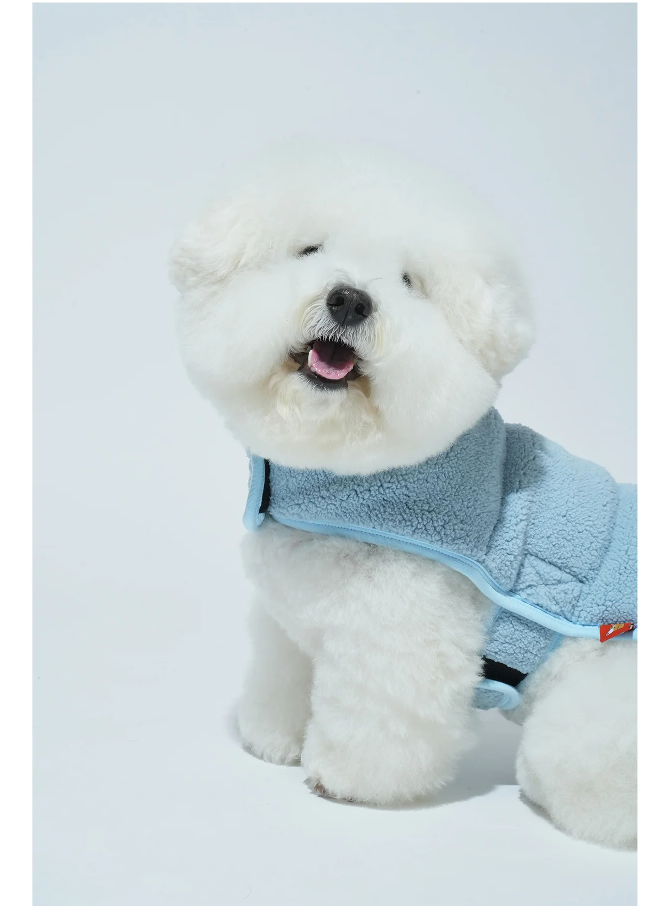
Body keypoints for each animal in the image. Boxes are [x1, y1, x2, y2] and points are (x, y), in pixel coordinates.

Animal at [170, 142, 636, 848]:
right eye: (309, 249)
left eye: (411, 281)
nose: (350, 301)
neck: (347, 476)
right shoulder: (291, 621)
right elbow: (285, 675)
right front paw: (275, 738)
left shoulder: (398, 637)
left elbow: (378, 721)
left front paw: (340, 781)